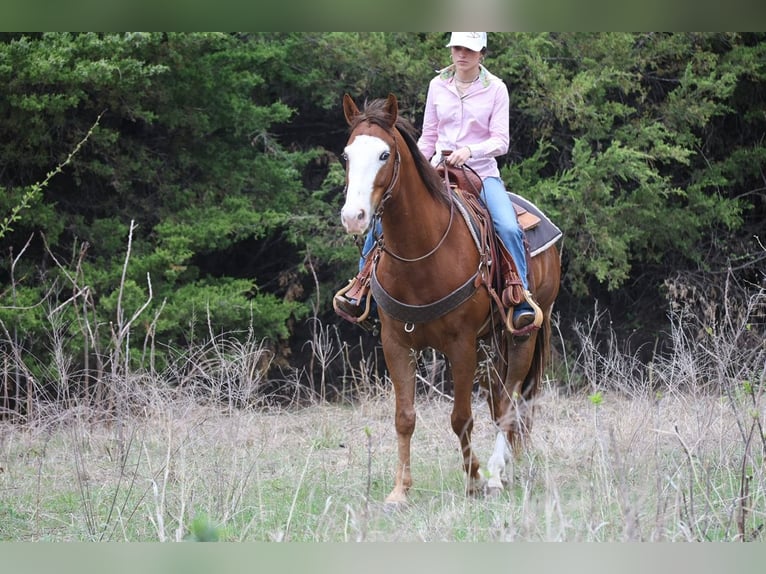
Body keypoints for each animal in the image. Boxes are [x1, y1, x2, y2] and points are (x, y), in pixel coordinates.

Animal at [339, 93, 561, 504]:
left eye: (384, 154)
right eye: (347, 155)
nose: (354, 216)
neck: (420, 253)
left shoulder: (461, 345)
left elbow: (461, 417)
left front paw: (473, 479)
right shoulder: (395, 343)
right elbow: (404, 417)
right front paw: (399, 491)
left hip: (523, 335)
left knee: (511, 401)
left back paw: (495, 474)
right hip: (492, 344)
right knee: (499, 401)